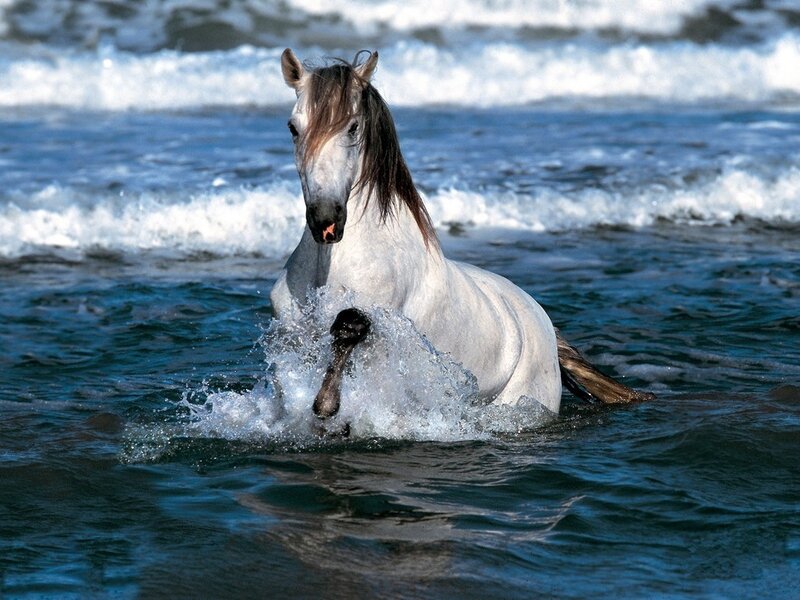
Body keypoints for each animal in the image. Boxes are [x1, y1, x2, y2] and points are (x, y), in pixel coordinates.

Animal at [270, 49, 653, 424]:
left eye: (352, 127)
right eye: (292, 127)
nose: (326, 220)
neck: (332, 265)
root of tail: (543, 321)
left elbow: (349, 326)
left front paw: (327, 405)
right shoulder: (292, 336)